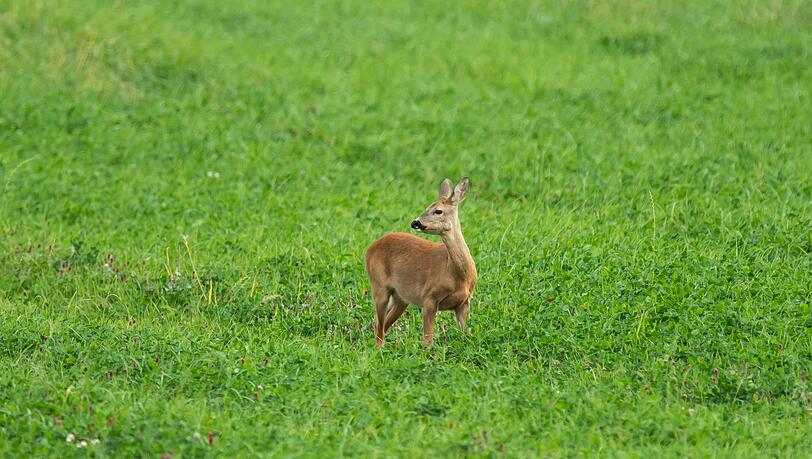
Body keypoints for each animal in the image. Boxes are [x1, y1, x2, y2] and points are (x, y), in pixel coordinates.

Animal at [364, 177, 477, 347]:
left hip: (400, 298)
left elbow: (465, 334)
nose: (415, 222)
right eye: (427, 207)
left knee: (379, 323)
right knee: (379, 327)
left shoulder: (464, 303)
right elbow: (427, 341)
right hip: (379, 285)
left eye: (438, 211)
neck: (457, 275)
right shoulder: (429, 297)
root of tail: (369, 249)